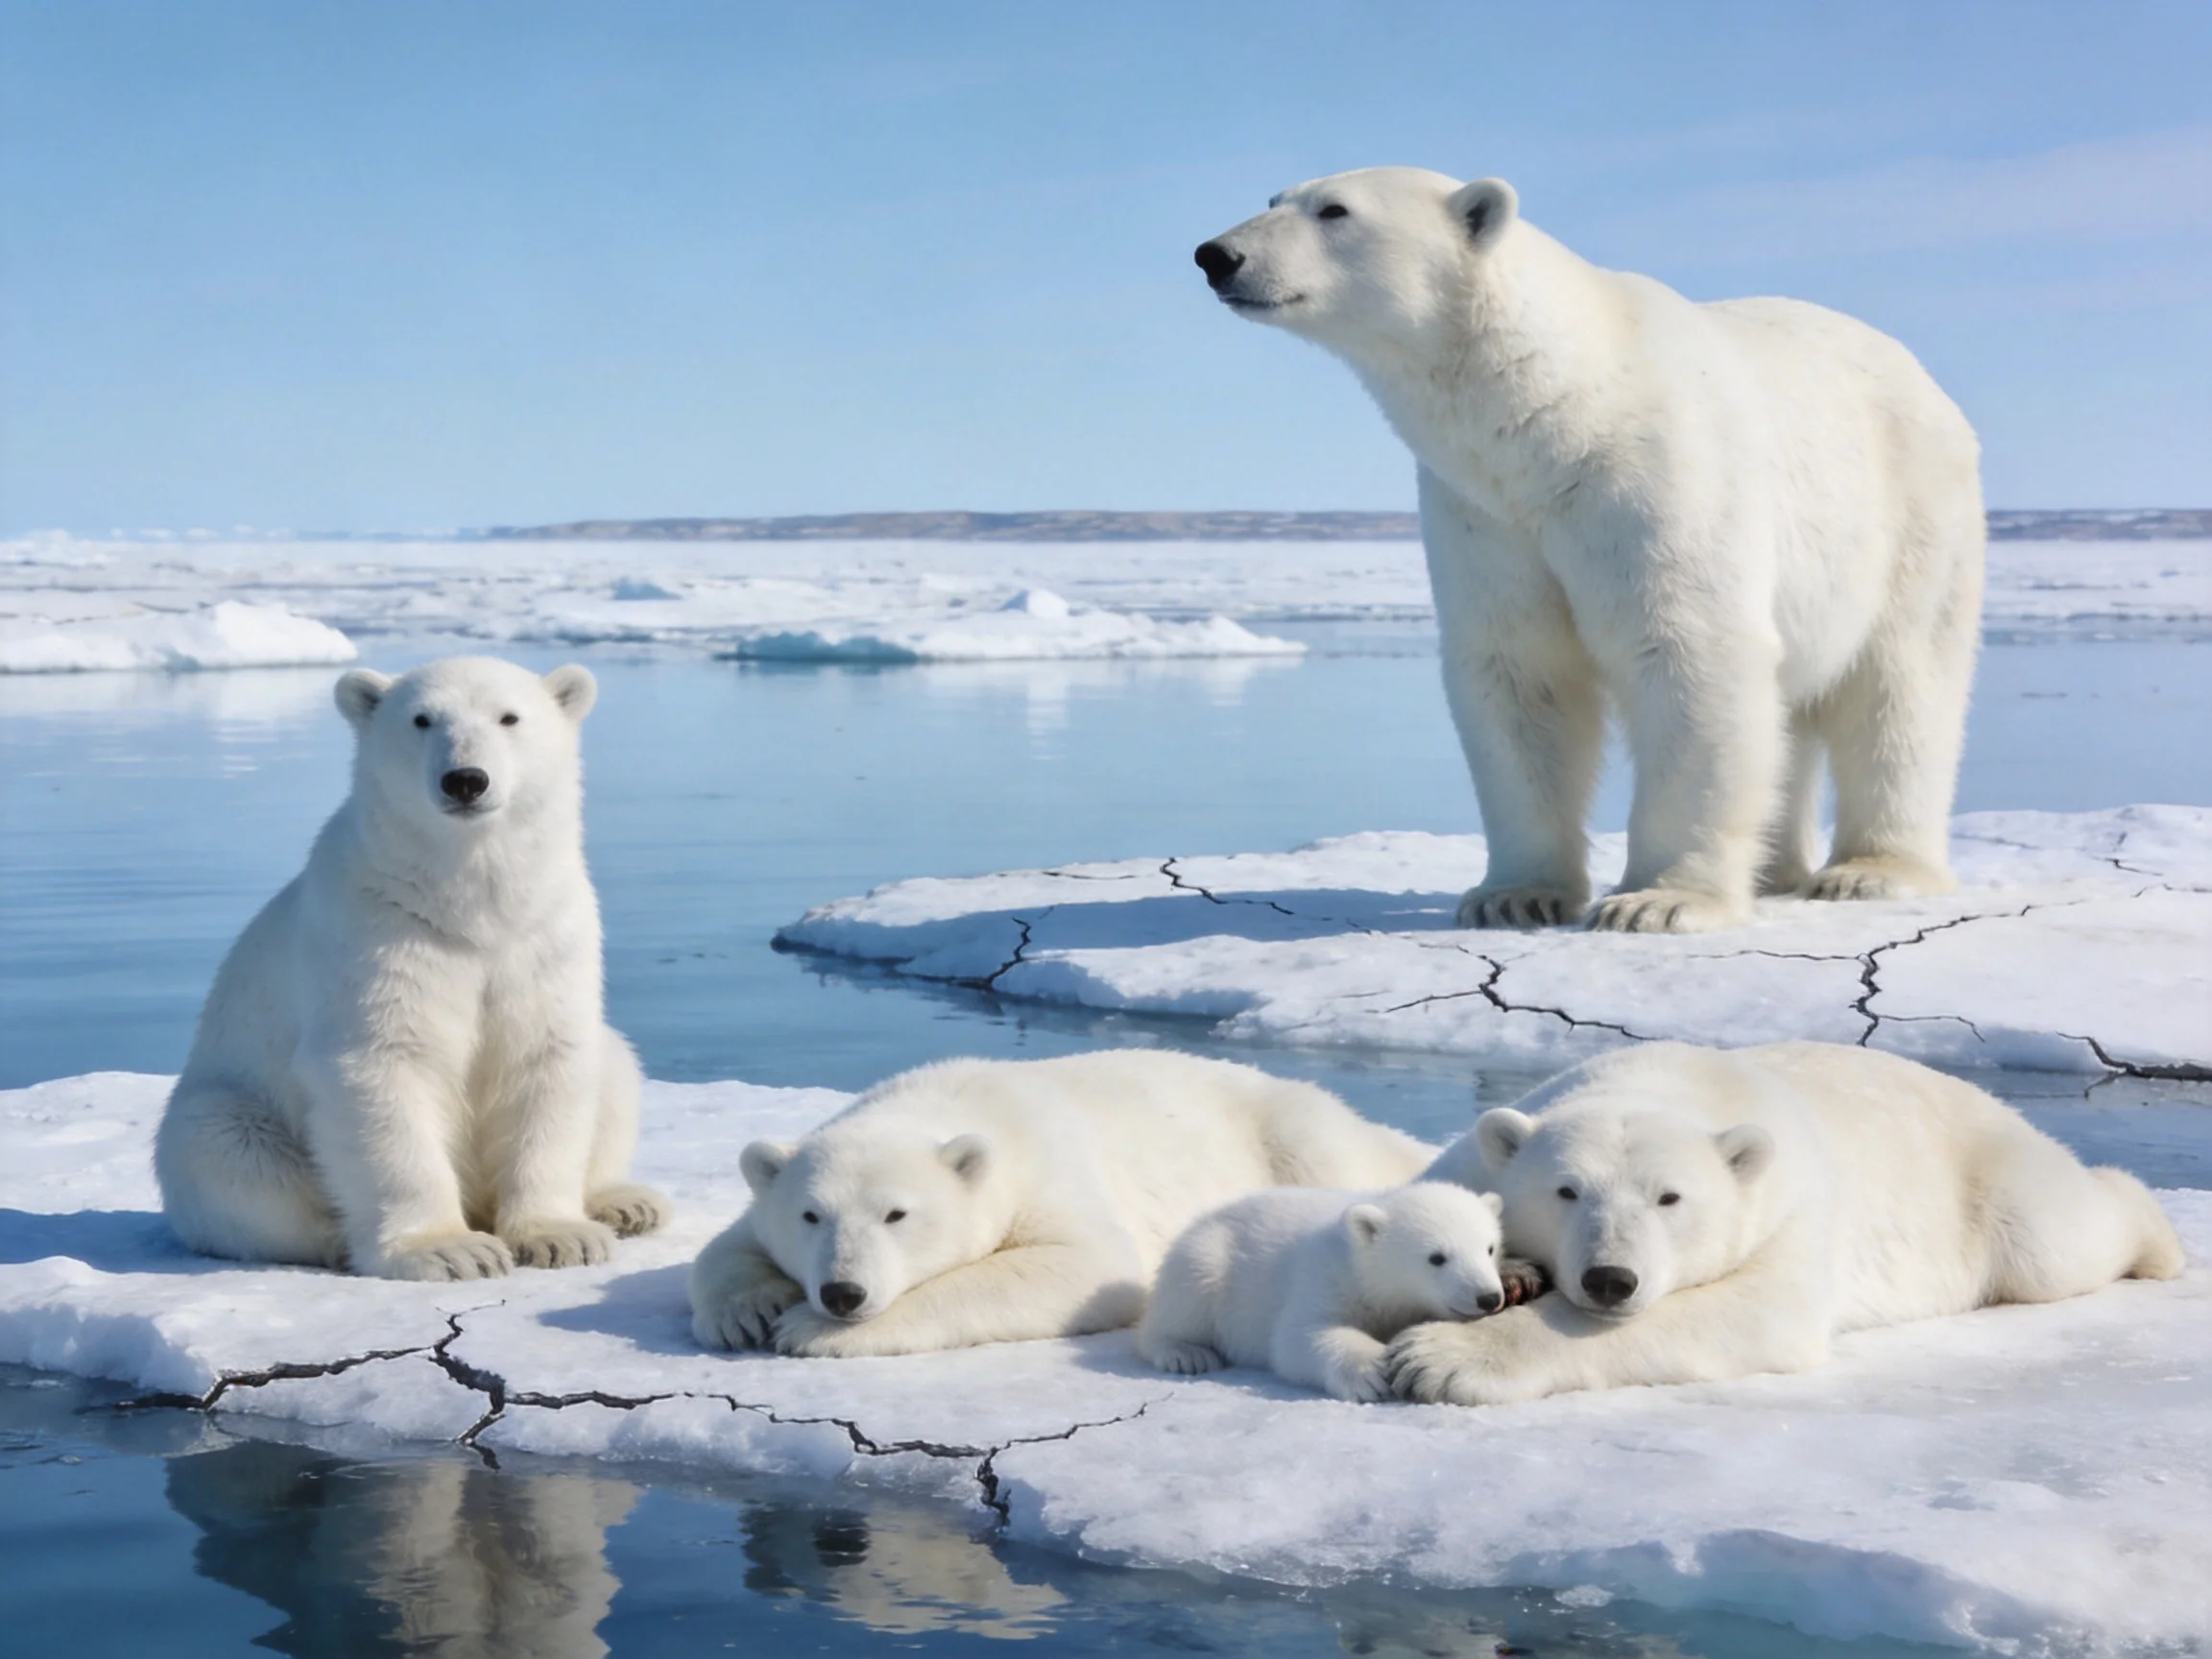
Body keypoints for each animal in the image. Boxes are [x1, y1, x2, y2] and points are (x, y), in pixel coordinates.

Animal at [155, 656, 669, 1281]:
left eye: (509, 717)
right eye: (422, 719)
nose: (466, 779)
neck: (465, 903)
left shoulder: (545, 935)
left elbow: (547, 1059)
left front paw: (559, 1236)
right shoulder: (378, 935)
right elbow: (385, 1070)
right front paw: (449, 1249)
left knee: (615, 1065)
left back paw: (626, 1202)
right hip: (233, 1111)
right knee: (230, 1155)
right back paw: (340, 1240)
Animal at [687, 1050, 1432, 1357]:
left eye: (896, 1214)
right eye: (811, 1215)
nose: (842, 1293)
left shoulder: (1049, 1175)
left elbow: (1083, 1268)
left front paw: (806, 1331)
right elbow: (725, 1244)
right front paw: (746, 1312)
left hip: (1293, 1130)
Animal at [1136, 1182, 1541, 1401]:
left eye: (1489, 1248)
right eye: (1436, 1257)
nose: (1488, 1298)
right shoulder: (1325, 1277)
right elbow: (1296, 1338)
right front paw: (1372, 1371)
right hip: (1207, 1260)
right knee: (1186, 1297)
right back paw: (1185, 1353)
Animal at [1196, 169, 1985, 933]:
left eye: (1335, 209)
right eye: (1274, 197)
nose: (1216, 255)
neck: (1564, 407)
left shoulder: (1656, 478)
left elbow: (1688, 652)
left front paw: (1658, 901)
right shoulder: (1485, 514)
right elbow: (1520, 671)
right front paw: (1513, 896)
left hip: (1912, 517)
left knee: (1899, 686)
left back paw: (1868, 870)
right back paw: (1771, 870)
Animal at [1385, 1041, 2184, 1405]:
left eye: (1670, 1198)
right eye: (1566, 1191)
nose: (1611, 1279)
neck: (1665, 1080)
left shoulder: (1789, 1206)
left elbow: (1759, 1310)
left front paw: (1438, 1359)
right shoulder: (1471, 1165)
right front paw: (1513, 1275)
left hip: (1993, 1189)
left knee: (2059, 1241)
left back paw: (2160, 1240)